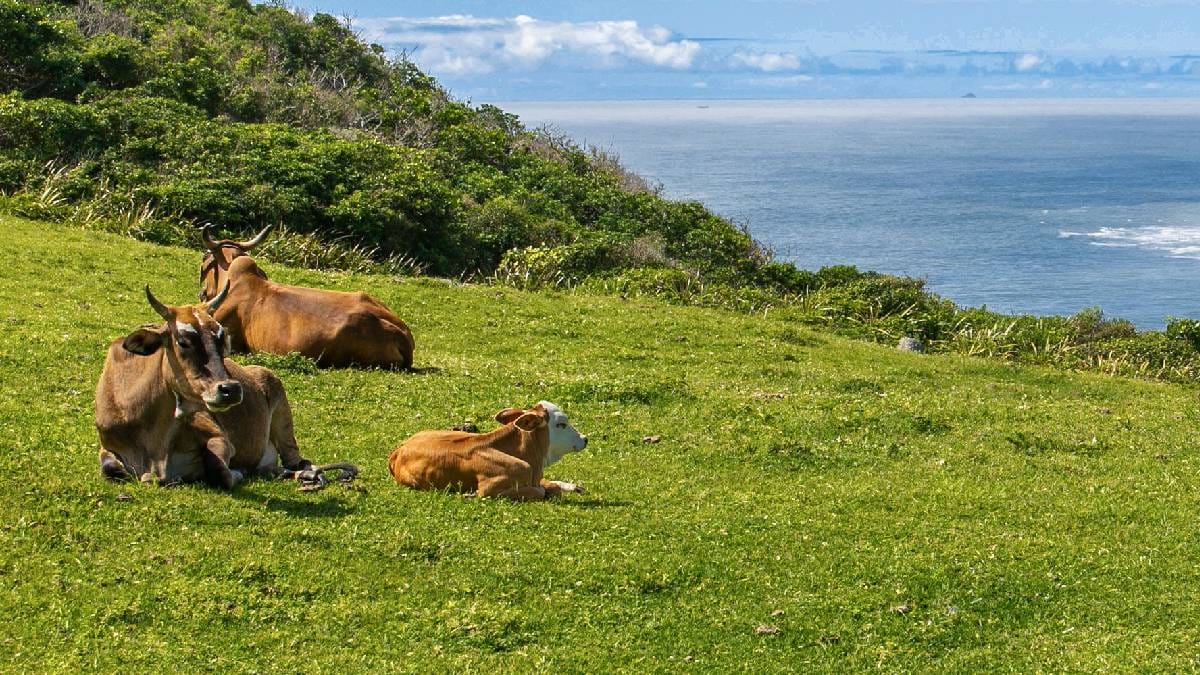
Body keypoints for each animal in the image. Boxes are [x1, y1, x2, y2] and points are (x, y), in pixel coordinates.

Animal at [94, 284, 314, 488]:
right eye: (182, 342)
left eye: (221, 337)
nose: (231, 389)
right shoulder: (108, 446)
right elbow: (110, 468)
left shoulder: (220, 437)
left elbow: (218, 470)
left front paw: (238, 472)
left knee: (295, 459)